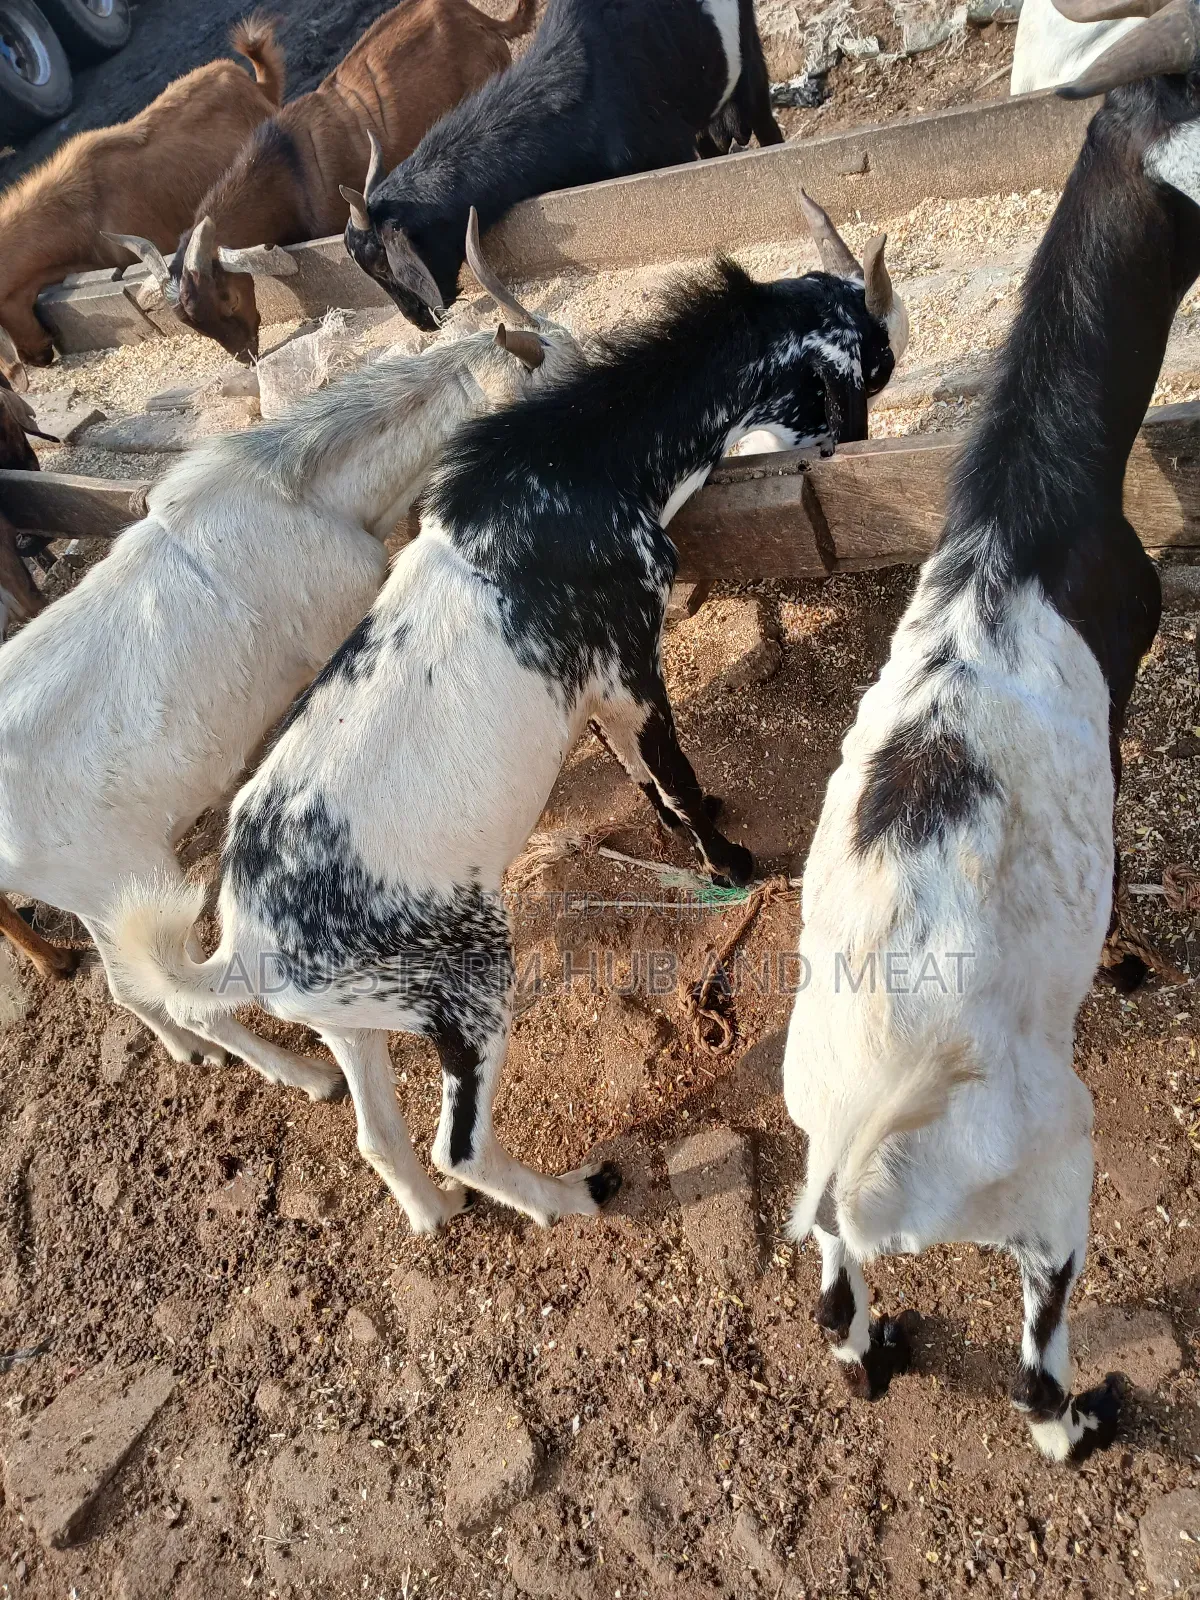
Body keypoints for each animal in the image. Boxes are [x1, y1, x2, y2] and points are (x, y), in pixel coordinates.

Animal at [0, 229, 577, 1088]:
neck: (307, 494)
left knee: (130, 988)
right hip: (114, 876)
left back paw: (193, 1053)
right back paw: (304, 1076)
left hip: (101, 895)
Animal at [108, 212, 905, 1235]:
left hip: (354, 1019)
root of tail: (245, 946)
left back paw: (431, 1214)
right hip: (466, 978)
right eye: (871, 364)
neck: (577, 465)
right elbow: (671, 768)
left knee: (379, 1136)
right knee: (461, 1141)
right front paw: (732, 861)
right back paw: (576, 1192)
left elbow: (639, 770)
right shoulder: (627, 662)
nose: (856, 446)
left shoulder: (591, 689)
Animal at [781, 0, 1200, 1466]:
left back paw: (880, 1348)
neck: (1024, 507)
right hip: (1055, 1181)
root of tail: (866, 1158)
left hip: (831, 1216)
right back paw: (1087, 1416)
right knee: (1033, 1358)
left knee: (839, 1320)